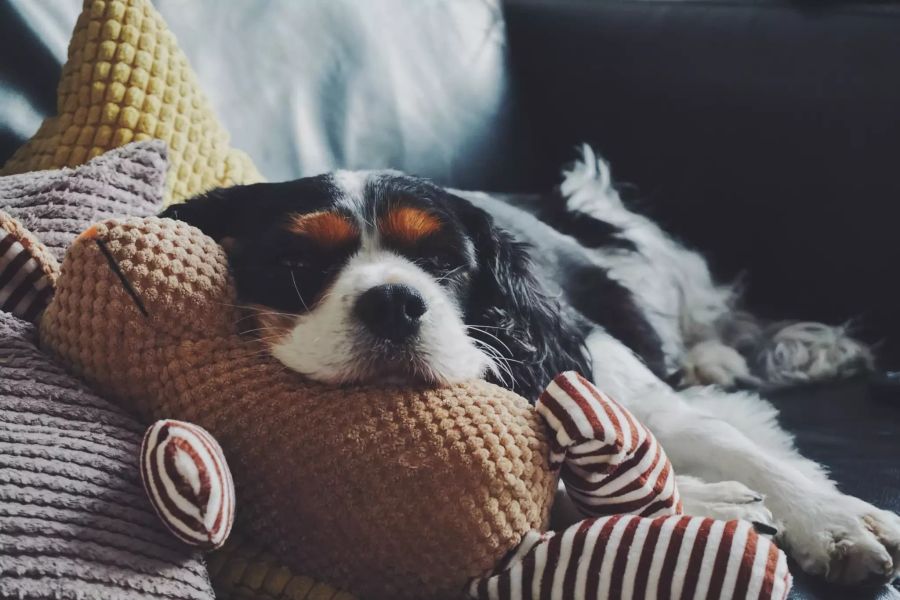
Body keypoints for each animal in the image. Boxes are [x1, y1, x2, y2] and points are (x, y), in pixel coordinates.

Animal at [163, 145, 900, 584]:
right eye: (297, 265)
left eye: (445, 262)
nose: (395, 302)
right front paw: (710, 503)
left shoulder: (599, 367)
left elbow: (731, 441)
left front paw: (835, 520)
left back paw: (718, 357)